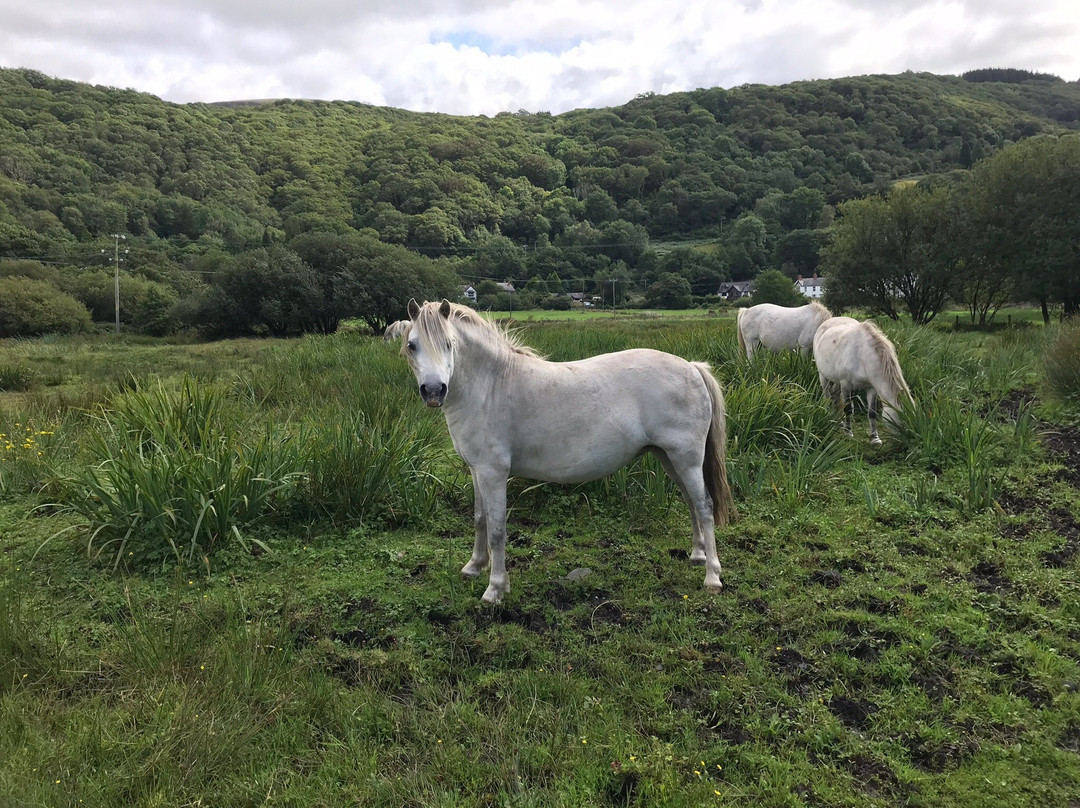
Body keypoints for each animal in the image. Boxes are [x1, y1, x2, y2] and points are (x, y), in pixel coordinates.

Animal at [401, 300, 738, 604]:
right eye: (412, 345)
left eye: (449, 344)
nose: (434, 391)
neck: (491, 385)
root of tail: (692, 367)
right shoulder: (476, 470)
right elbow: (480, 518)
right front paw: (473, 566)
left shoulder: (493, 473)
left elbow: (497, 529)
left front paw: (495, 589)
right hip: (669, 458)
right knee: (691, 502)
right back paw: (697, 555)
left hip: (687, 459)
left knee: (705, 506)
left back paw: (712, 576)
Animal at [812, 315, 915, 445]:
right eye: (900, 420)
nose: (906, 442)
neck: (862, 356)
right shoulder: (846, 385)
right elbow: (848, 409)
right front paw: (848, 432)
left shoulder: (871, 388)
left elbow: (872, 412)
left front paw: (874, 438)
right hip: (823, 376)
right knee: (827, 396)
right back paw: (829, 416)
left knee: (835, 395)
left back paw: (838, 420)